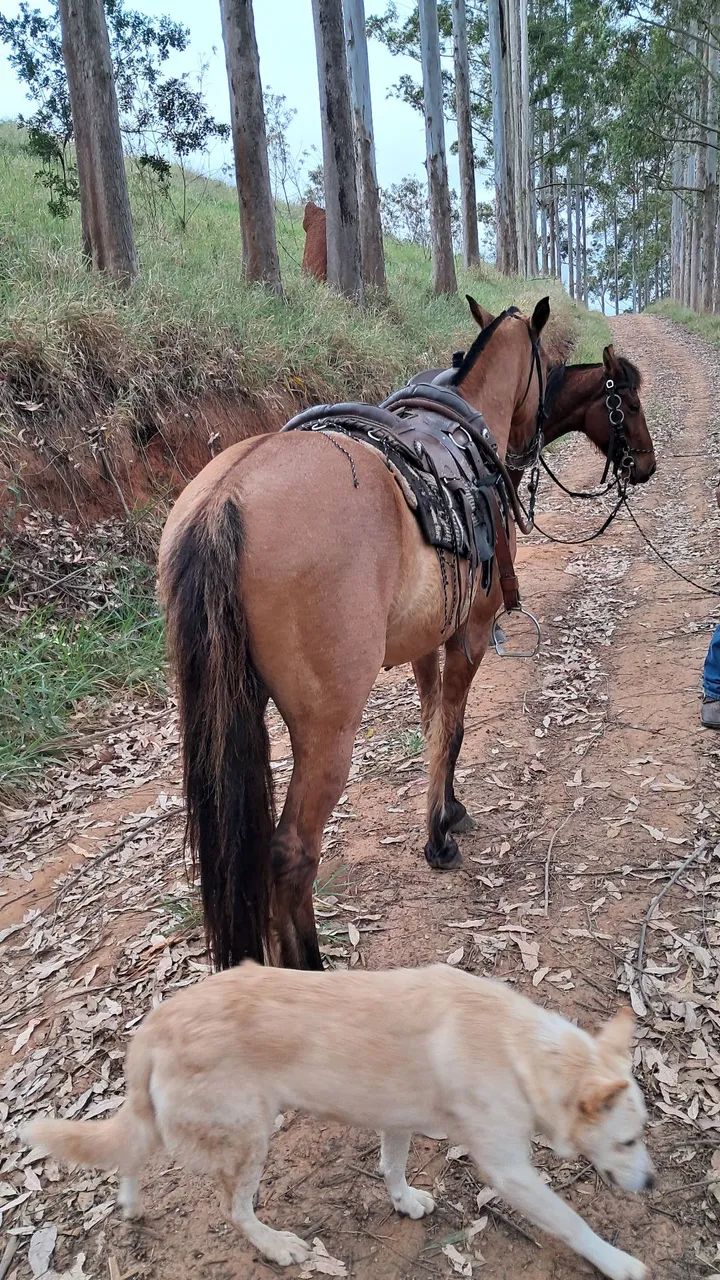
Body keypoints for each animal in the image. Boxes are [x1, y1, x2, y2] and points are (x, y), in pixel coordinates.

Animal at [158, 298, 551, 972]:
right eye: (546, 365)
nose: (531, 444)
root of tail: (224, 501)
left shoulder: (426, 642)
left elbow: (433, 725)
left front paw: (445, 813)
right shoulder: (468, 635)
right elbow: (453, 727)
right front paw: (440, 834)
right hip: (328, 731)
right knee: (291, 855)